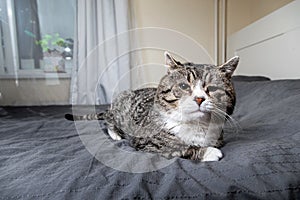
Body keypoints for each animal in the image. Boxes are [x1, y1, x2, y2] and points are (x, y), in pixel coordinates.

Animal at [66, 52, 239, 162]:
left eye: (213, 88)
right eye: (183, 86)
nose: (199, 98)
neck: (198, 125)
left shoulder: (219, 137)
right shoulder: (148, 143)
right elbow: (178, 148)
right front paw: (209, 152)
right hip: (120, 106)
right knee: (108, 121)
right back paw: (115, 134)